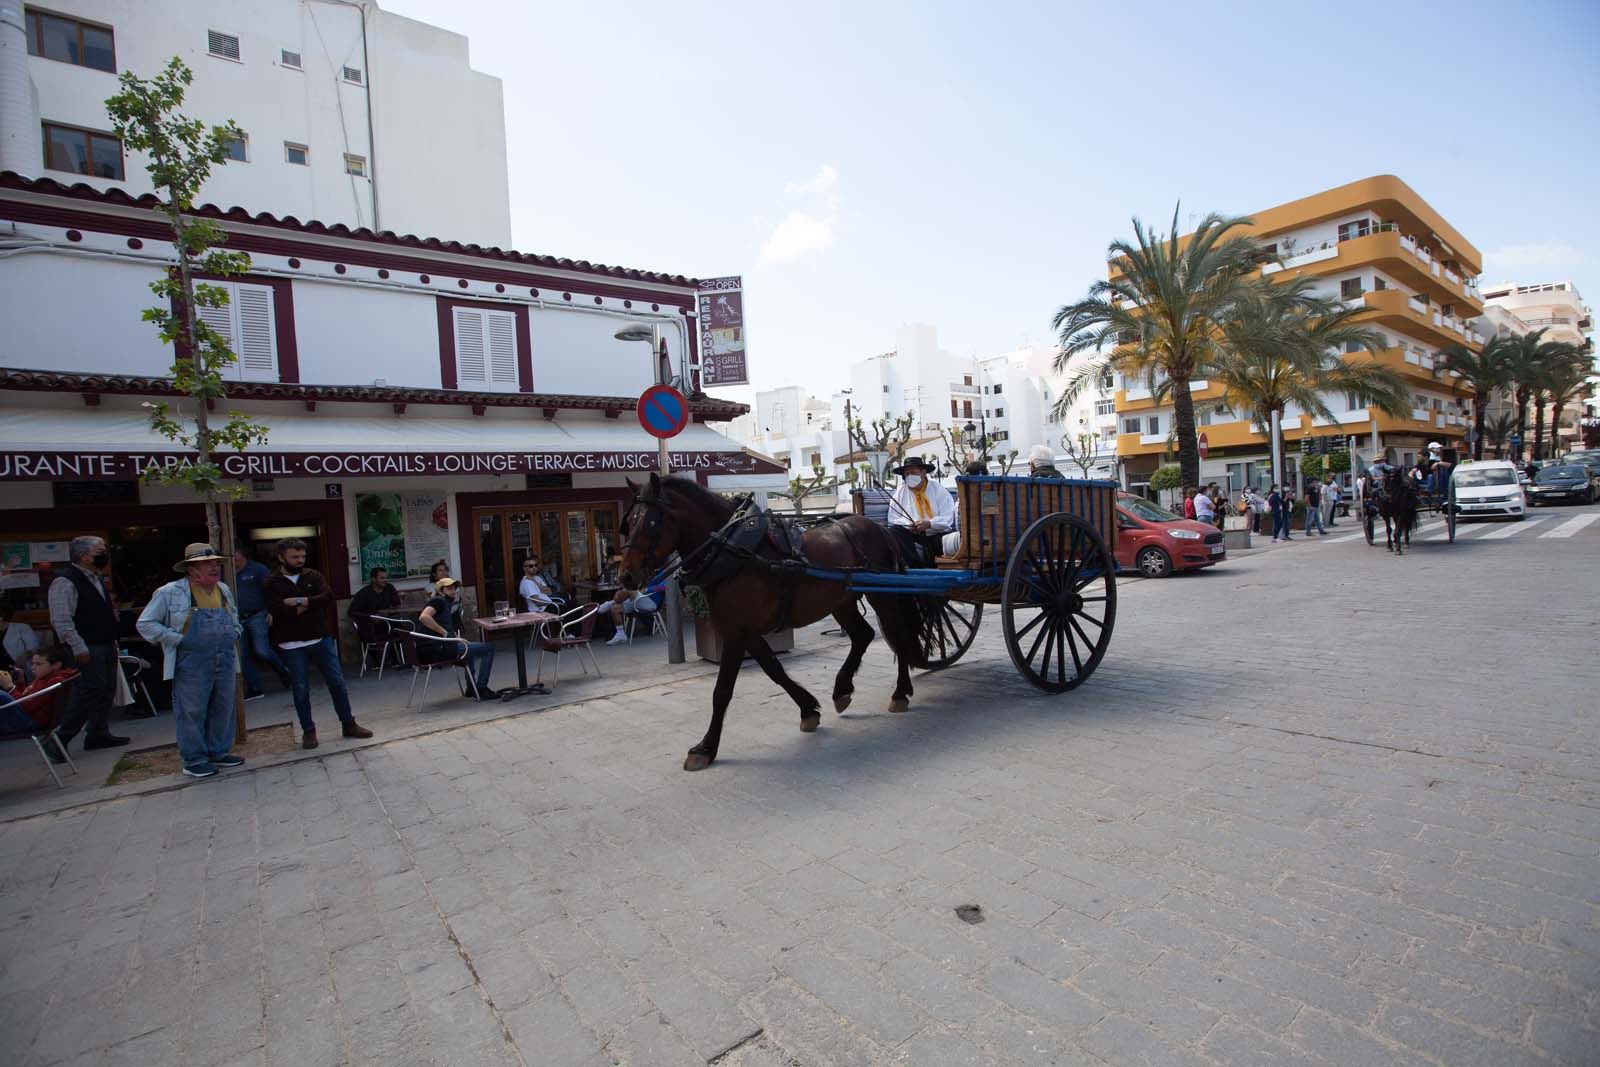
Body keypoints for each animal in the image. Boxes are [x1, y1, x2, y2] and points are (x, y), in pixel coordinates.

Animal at [611, 473, 934, 767]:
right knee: (864, 635)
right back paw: (842, 690)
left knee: (898, 636)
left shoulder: (735, 634)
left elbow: (722, 691)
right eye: (630, 521)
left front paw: (705, 747)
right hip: (842, 601)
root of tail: (882, 529)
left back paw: (900, 692)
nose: (626, 576)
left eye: (650, 523)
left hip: (883, 596)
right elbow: (774, 670)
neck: (733, 550)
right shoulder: (745, 631)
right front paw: (808, 710)